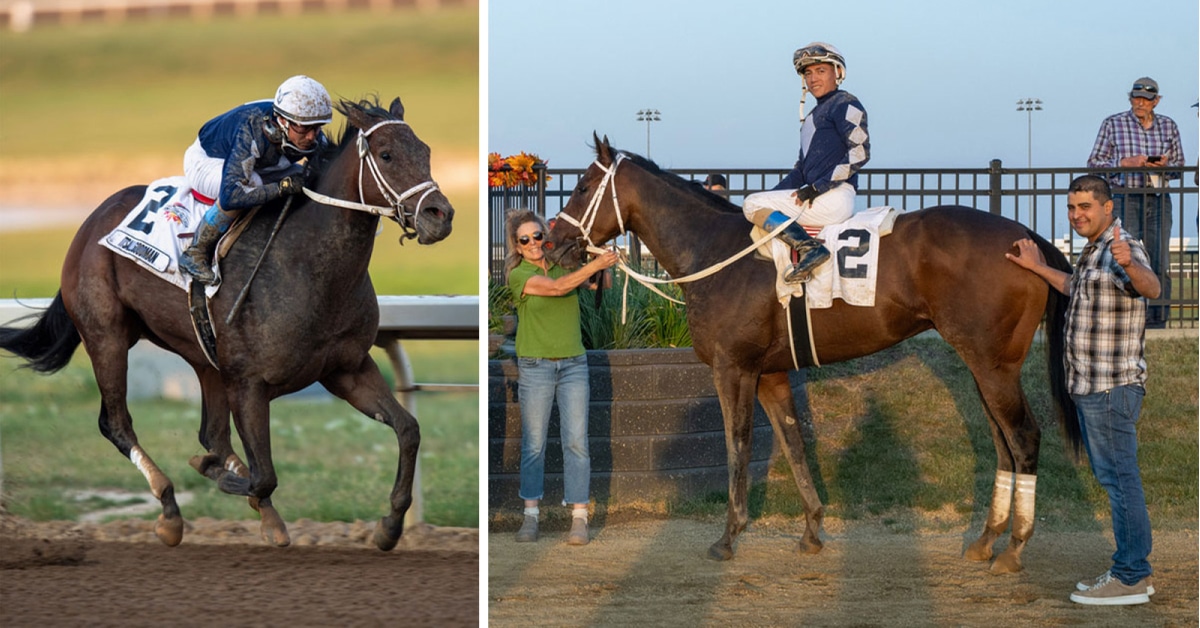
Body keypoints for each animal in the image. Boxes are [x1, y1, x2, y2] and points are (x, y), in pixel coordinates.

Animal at [0, 97, 454, 551]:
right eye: (386, 154)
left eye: (426, 151)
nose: (441, 215)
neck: (307, 264)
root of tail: (90, 221)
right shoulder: (249, 384)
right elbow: (263, 475)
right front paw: (217, 475)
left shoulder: (347, 369)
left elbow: (408, 429)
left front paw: (389, 526)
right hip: (106, 335)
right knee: (117, 424)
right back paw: (170, 509)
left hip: (204, 357)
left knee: (213, 434)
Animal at [546, 135, 1078, 574]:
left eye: (582, 186)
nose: (551, 243)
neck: (715, 251)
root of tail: (1029, 240)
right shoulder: (771, 374)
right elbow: (793, 443)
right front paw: (812, 531)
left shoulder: (734, 368)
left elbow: (737, 444)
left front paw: (728, 536)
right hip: (985, 366)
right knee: (1002, 443)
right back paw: (986, 540)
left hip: (992, 365)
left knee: (1024, 438)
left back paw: (1014, 548)